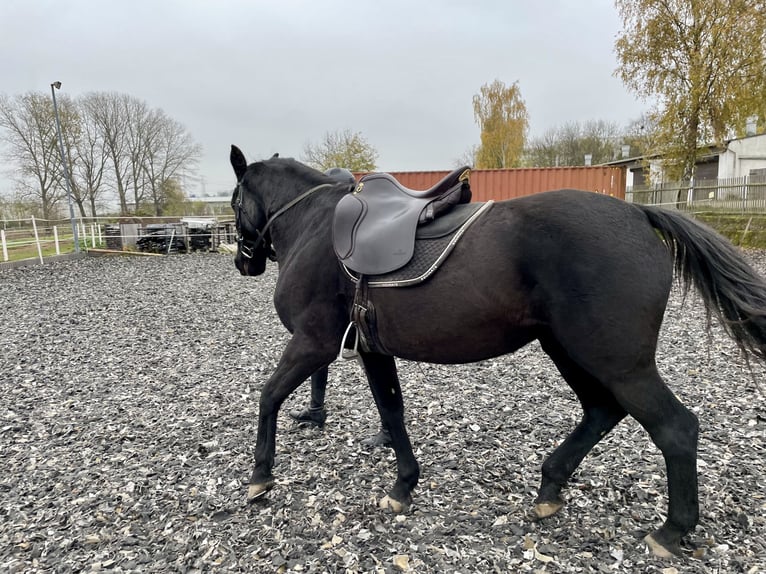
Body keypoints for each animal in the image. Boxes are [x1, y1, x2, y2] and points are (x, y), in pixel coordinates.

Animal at [230, 146, 766, 560]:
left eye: (236, 201)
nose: (243, 262)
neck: (316, 226)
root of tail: (638, 214)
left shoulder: (314, 341)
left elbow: (268, 396)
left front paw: (260, 474)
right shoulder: (370, 350)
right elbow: (392, 411)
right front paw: (404, 486)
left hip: (618, 363)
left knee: (675, 428)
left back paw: (671, 530)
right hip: (570, 351)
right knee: (601, 411)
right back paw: (550, 486)